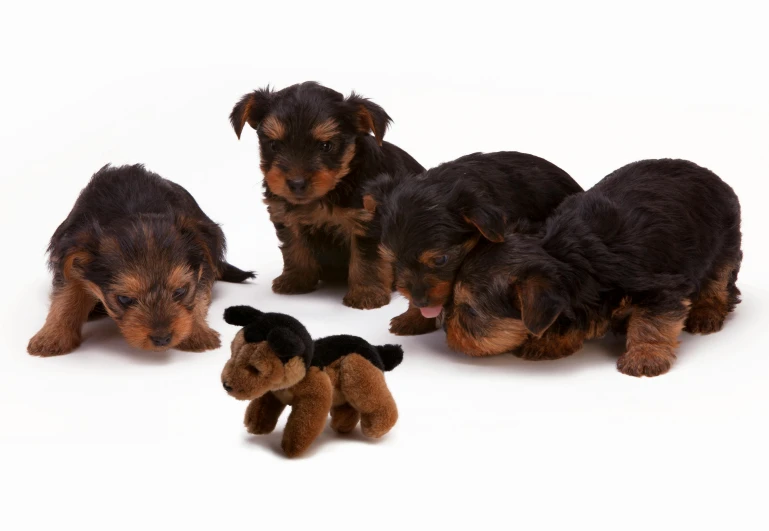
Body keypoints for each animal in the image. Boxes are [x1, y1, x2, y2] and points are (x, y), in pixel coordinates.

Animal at [27, 163, 254, 358]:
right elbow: (65, 297)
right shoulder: (71, 258)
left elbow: (198, 296)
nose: (162, 339)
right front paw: (52, 337)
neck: (132, 209)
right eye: (124, 299)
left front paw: (197, 333)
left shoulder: (203, 262)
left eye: (180, 291)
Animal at [222, 306, 402, 460]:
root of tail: (374, 348)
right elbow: (262, 407)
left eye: (255, 368)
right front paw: (255, 424)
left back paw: (376, 427)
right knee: (348, 407)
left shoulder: (314, 396)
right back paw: (342, 425)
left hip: (357, 371)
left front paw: (292, 447)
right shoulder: (273, 393)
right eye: (232, 353)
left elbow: (303, 423)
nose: (226, 385)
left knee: (378, 403)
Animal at [448, 159, 740, 378]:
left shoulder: (661, 288)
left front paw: (645, 356)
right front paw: (549, 341)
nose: (447, 329)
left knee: (719, 280)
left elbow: (652, 322)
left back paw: (707, 312)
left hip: (724, 242)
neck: (564, 254)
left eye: (469, 312)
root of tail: (709, 173)